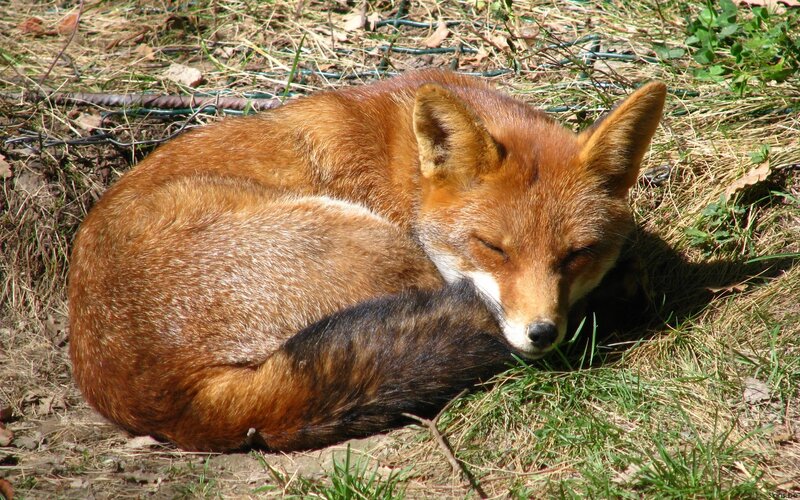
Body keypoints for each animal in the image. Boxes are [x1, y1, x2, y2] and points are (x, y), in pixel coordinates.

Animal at [68, 69, 666, 452]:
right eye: (494, 248)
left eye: (576, 254)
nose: (541, 333)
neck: (404, 171)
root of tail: (173, 403)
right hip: (376, 246)